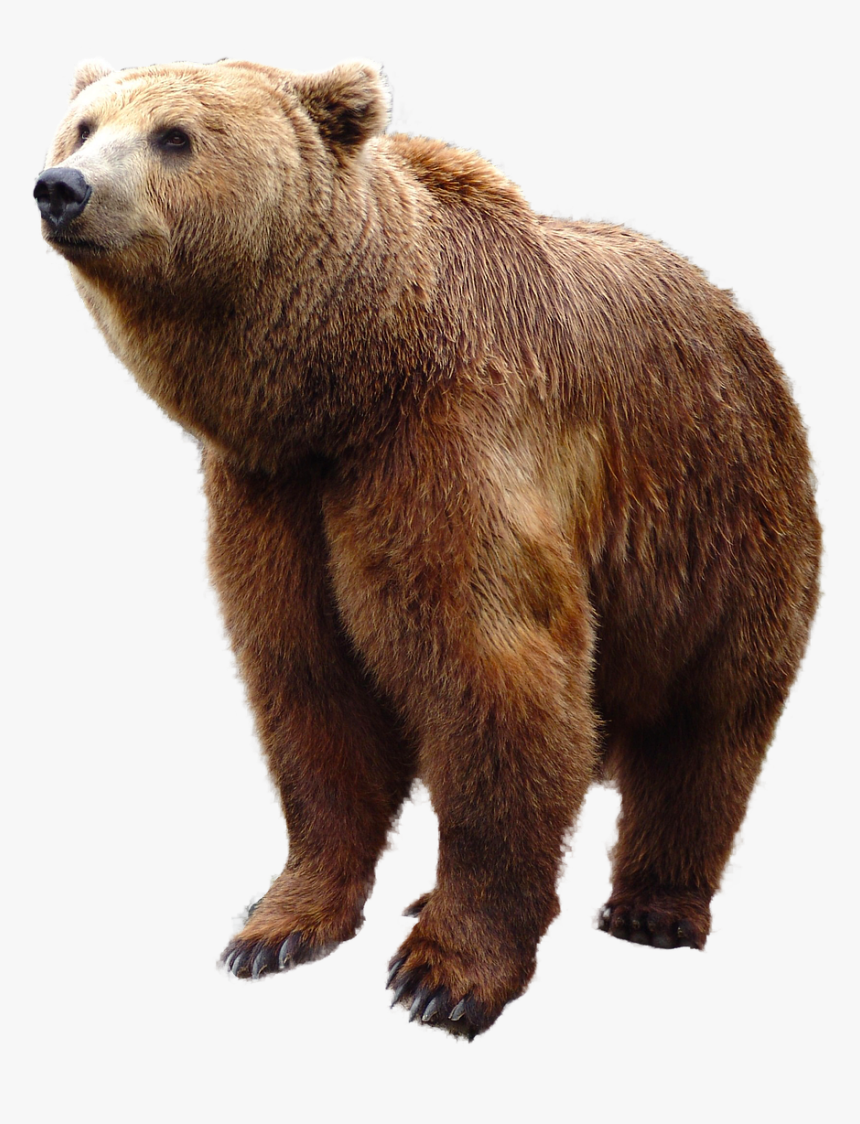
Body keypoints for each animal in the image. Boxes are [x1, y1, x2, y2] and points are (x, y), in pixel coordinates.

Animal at [35, 57, 821, 1040]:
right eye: (84, 125)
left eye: (173, 135)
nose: (61, 188)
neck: (346, 379)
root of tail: (740, 318)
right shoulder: (275, 495)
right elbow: (309, 684)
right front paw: (275, 928)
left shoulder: (449, 445)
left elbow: (495, 674)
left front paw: (442, 975)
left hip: (718, 521)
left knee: (705, 723)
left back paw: (654, 906)